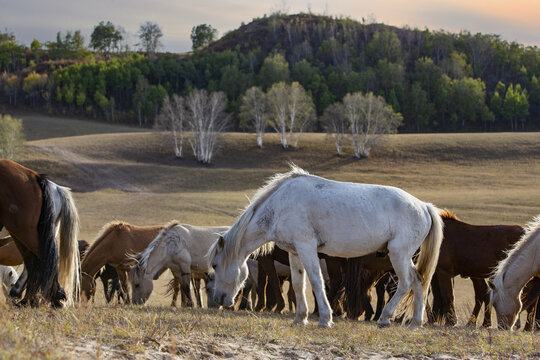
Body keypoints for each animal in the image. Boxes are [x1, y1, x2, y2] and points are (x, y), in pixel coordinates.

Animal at [0, 160, 79, 306]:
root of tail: (36, 177)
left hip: (25, 231)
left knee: (41, 259)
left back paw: (53, 297)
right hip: (24, 233)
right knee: (33, 262)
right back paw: (28, 298)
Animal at [209, 166, 440, 330]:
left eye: (215, 265)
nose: (218, 299)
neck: (281, 205)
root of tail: (424, 206)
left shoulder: (307, 247)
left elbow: (316, 281)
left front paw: (325, 319)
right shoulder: (295, 251)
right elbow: (298, 283)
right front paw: (300, 318)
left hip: (398, 255)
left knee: (405, 282)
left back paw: (385, 318)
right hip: (404, 257)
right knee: (418, 281)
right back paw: (415, 323)